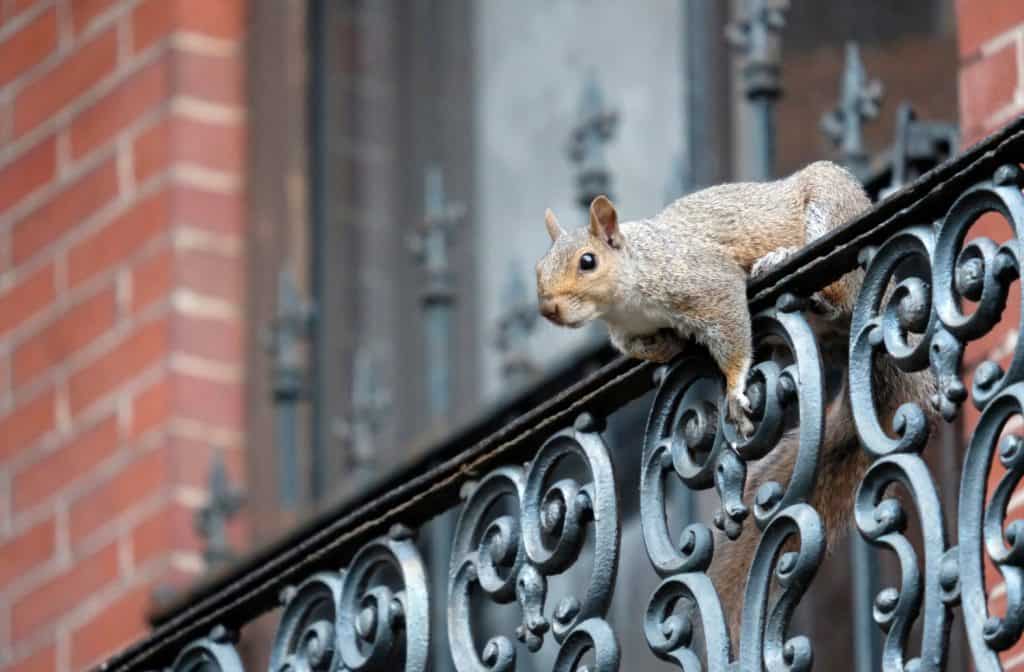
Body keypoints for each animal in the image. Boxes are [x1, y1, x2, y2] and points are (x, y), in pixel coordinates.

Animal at [536, 160, 936, 641]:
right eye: (539, 267)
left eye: (588, 261)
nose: (548, 309)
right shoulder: (629, 334)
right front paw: (669, 347)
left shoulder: (703, 279)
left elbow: (728, 321)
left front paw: (734, 385)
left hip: (830, 209)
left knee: (841, 293)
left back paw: (787, 266)